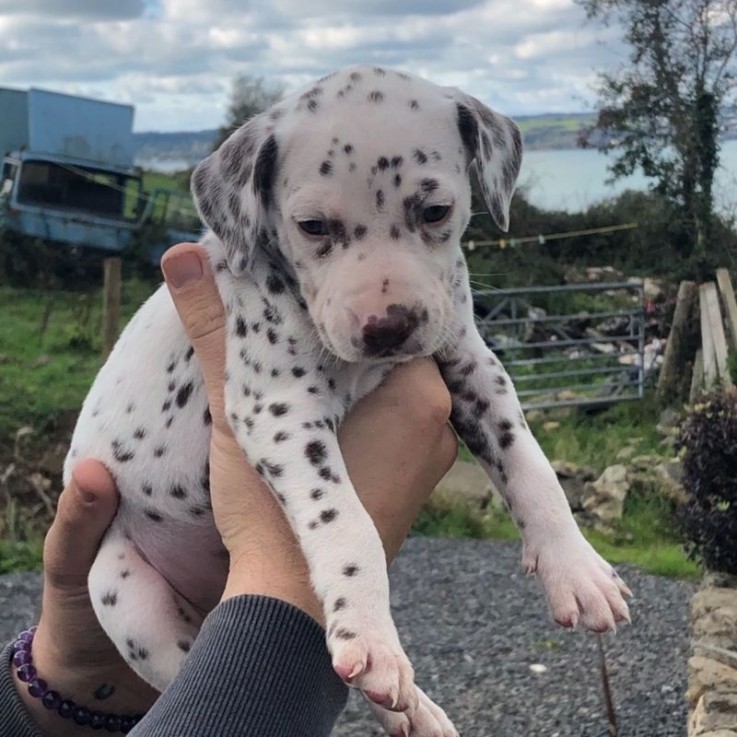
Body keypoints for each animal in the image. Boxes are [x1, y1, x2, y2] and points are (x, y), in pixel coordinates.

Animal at [64, 66, 628, 732]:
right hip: (129, 598)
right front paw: (372, 637)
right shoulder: (281, 411)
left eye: (436, 210)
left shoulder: (473, 364)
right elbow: (348, 521)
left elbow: (529, 464)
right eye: (312, 226)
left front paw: (577, 568)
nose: (387, 327)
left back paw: (414, 708)